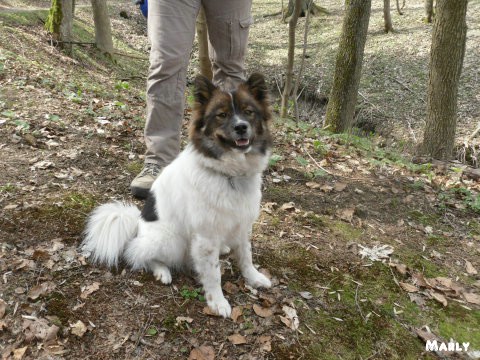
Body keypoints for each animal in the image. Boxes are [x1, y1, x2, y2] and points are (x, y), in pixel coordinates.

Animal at [82, 73, 274, 318]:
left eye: (249, 112)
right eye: (222, 115)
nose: (241, 127)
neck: (229, 174)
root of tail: (137, 225)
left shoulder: (241, 223)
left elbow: (246, 256)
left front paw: (254, 277)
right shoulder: (205, 235)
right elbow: (214, 273)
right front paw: (217, 301)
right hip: (172, 240)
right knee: (139, 254)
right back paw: (161, 271)